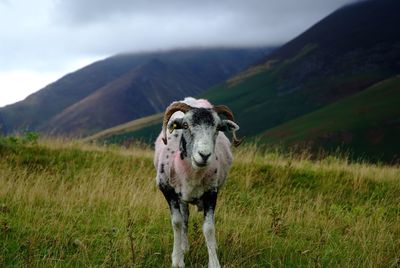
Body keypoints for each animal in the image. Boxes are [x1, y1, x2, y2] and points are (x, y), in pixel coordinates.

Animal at [153, 97, 241, 266]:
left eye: (218, 128)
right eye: (185, 125)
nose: (204, 155)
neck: (192, 173)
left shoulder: (211, 193)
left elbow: (209, 228)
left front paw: (214, 263)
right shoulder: (166, 189)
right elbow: (177, 222)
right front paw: (178, 260)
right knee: (184, 218)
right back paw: (184, 247)